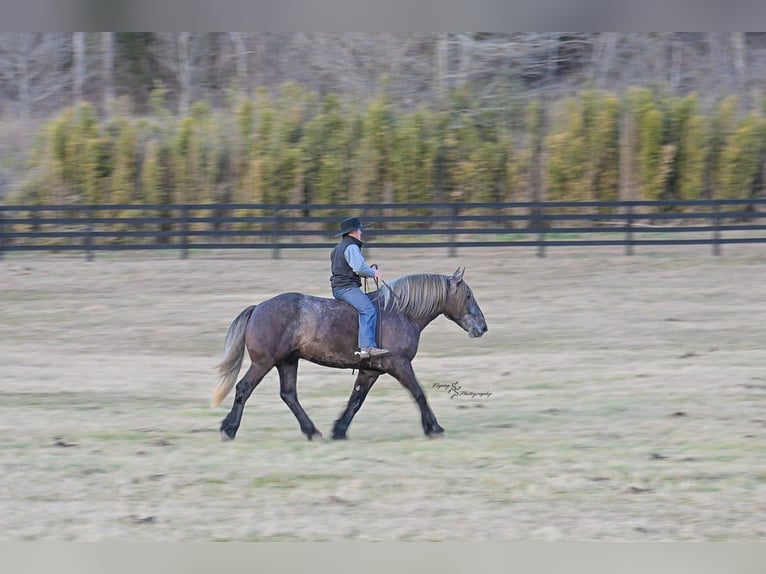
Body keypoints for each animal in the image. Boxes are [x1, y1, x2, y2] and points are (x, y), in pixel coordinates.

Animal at [211, 268, 488, 440]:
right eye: (468, 295)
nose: (482, 327)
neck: (400, 312)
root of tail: (258, 308)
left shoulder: (370, 371)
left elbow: (356, 400)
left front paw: (339, 430)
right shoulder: (399, 365)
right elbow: (419, 393)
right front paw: (435, 428)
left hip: (287, 362)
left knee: (288, 395)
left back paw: (312, 431)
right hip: (264, 362)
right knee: (244, 388)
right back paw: (229, 429)